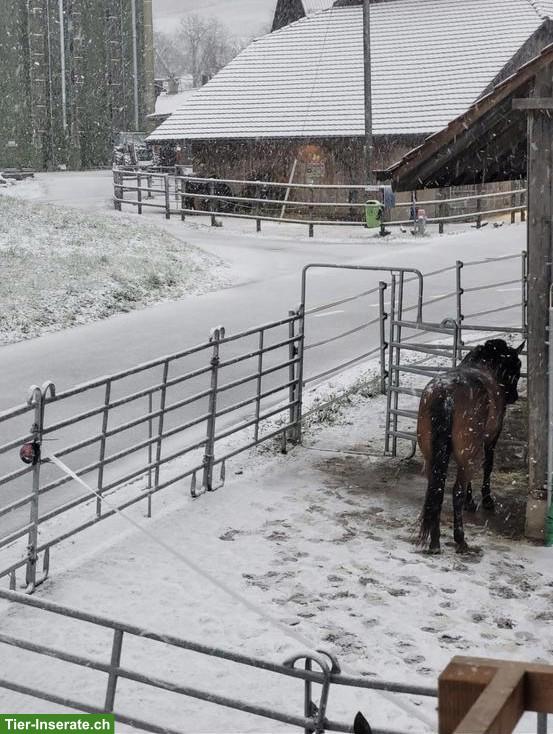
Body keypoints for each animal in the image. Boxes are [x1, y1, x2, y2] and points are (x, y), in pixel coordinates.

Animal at [416, 338, 524, 554]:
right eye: (516, 369)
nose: (513, 396)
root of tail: (446, 395)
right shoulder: (490, 438)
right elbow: (488, 465)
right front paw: (485, 500)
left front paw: (471, 500)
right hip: (468, 452)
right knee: (455, 490)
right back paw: (459, 539)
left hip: (432, 454)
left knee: (435, 489)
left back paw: (435, 541)